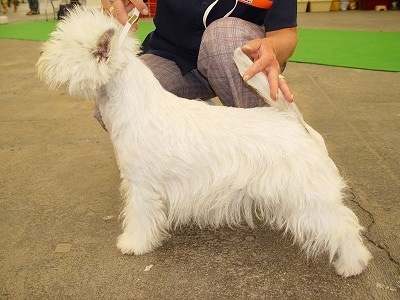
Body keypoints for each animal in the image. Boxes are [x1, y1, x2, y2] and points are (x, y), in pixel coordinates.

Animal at [37, 7, 372, 278]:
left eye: (64, 49)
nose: (42, 59)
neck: (134, 105)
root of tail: (295, 122)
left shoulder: (142, 186)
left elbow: (140, 218)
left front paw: (133, 244)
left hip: (308, 196)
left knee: (344, 225)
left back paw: (352, 265)